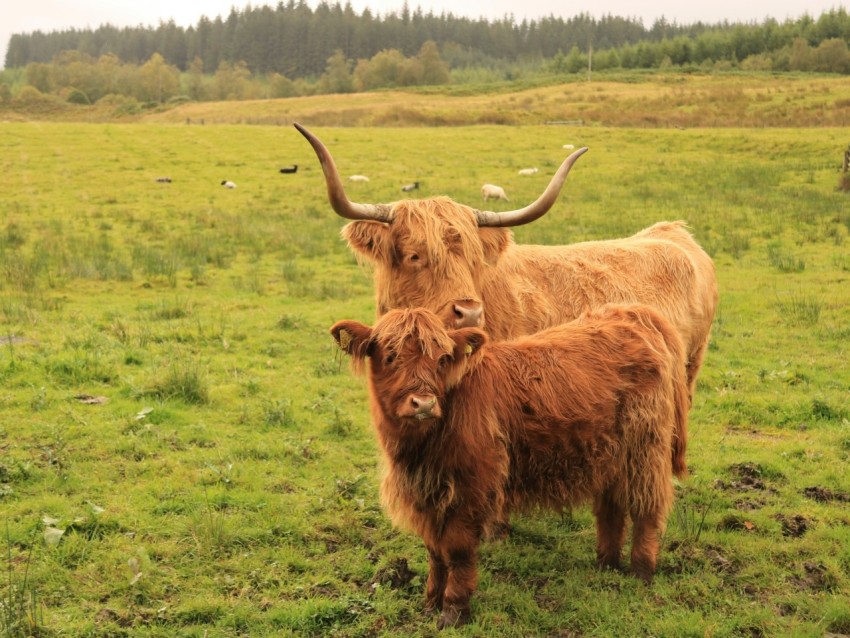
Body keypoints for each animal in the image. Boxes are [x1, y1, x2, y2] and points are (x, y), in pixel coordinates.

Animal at [331, 303, 689, 629]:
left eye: (442, 359)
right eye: (390, 356)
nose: (424, 403)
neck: (420, 450)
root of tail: (634, 312)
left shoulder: (471, 487)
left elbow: (456, 550)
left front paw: (454, 611)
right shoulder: (427, 496)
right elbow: (435, 551)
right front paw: (431, 603)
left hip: (644, 448)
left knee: (647, 507)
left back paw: (640, 571)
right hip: (608, 455)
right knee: (611, 508)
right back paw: (606, 564)